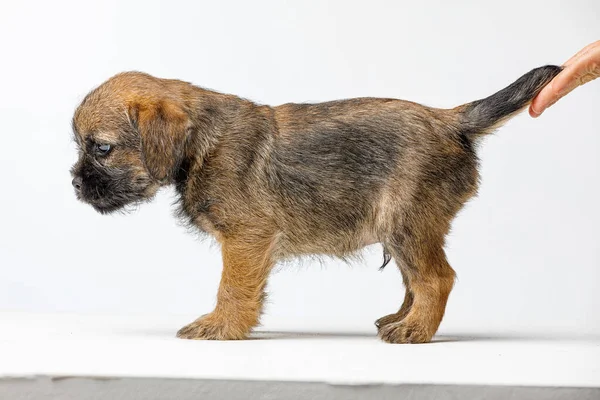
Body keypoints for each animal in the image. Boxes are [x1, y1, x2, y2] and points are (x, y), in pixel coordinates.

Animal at [71, 65, 564, 344]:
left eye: (102, 148)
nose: (74, 183)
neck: (199, 142)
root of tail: (451, 121)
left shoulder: (246, 238)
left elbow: (232, 288)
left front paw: (222, 326)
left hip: (406, 221)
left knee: (436, 279)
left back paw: (415, 331)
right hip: (402, 228)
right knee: (415, 279)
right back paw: (400, 319)